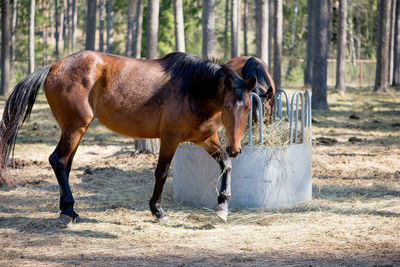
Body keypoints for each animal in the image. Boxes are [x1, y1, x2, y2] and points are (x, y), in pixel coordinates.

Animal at [0, 51, 256, 225]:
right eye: (227, 106)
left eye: (247, 107)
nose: (236, 148)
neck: (193, 88)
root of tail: (54, 66)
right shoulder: (170, 138)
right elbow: (162, 172)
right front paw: (158, 211)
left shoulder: (205, 138)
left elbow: (225, 164)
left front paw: (222, 206)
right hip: (75, 128)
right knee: (58, 160)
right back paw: (68, 211)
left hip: (73, 130)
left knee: (65, 164)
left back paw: (68, 210)